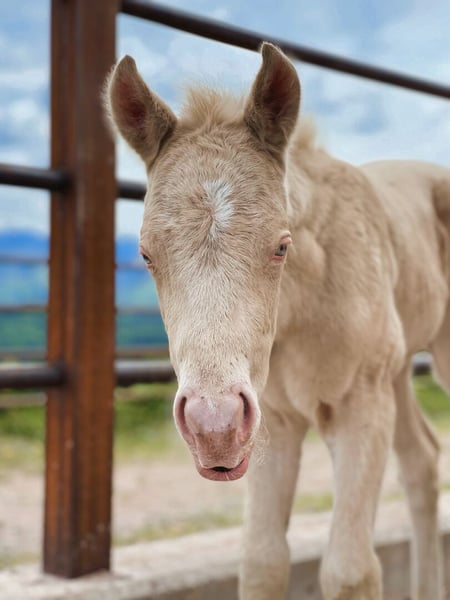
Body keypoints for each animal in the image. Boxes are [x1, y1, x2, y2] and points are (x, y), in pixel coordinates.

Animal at [105, 42, 450, 600]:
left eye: (281, 246)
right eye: (146, 255)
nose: (212, 426)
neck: (302, 314)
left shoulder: (359, 403)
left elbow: (351, 569)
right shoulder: (273, 420)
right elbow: (262, 560)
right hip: (394, 372)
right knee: (420, 460)